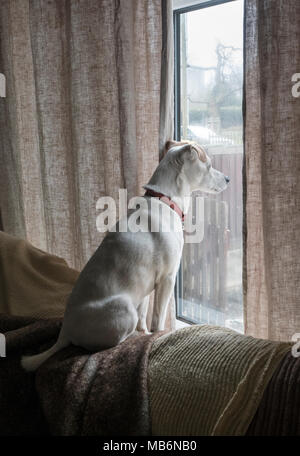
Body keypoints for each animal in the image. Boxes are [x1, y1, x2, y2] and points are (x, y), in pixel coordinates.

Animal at [22, 141, 229, 372]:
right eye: (209, 165)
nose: (228, 179)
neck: (164, 200)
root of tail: (65, 331)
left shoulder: (147, 287)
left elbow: (144, 316)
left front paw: (146, 333)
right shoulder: (167, 279)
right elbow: (158, 319)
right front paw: (157, 335)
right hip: (124, 309)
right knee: (106, 343)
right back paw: (129, 338)